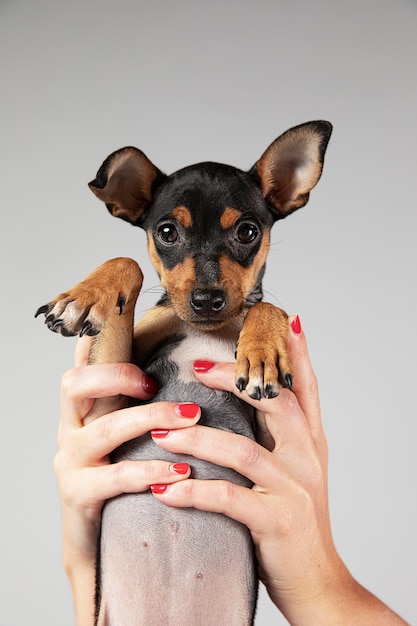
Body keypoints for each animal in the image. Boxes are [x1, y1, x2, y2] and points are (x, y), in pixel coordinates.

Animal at [37, 119, 334, 620]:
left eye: (248, 232)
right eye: (167, 232)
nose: (207, 299)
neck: (207, 330)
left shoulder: (274, 444)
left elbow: (266, 305)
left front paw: (262, 350)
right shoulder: (112, 399)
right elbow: (129, 262)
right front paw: (86, 296)